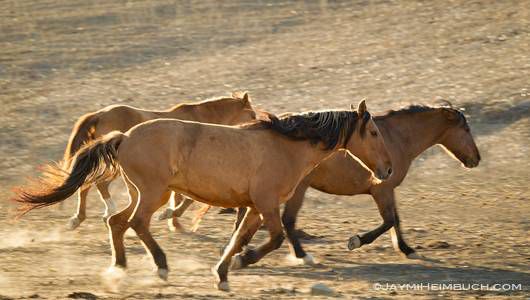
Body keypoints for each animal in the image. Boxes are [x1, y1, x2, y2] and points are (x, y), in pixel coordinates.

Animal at [12, 101, 392, 290]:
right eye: (374, 132)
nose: (387, 170)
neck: (285, 145)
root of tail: (124, 136)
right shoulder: (267, 205)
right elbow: (274, 238)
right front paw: (241, 262)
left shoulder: (254, 207)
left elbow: (239, 237)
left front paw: (223, 272)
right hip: (153, 194)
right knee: (135, 223)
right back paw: (161, 266)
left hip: (145, 193)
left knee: (116, 222)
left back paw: (119, 267)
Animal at [223, 103, 478, 268]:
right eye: (466, 129)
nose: (476, 159)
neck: (398, 139)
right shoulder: (381, 189)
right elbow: (389, 221)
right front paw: (356, 241)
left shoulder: (388, 189)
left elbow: (396, 220)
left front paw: (406, 249)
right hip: (298, 189)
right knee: (288, 220)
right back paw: (300, 256)